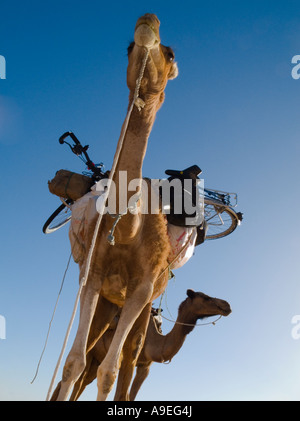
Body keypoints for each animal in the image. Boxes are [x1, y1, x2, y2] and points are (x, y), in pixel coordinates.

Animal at [51, 288, 231, 400]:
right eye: (206, 297)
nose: (226, 305)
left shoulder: (145, 366)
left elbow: (131, 396)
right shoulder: (127, 357)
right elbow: (122, 394)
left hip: (96, 361)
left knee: (82, 382)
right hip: (90, 350)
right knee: (72, 379)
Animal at [53, 13, 178, 400]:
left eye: (170, 53)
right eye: (127, 47)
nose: (148, 20)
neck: (127, 230)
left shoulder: (142, 288)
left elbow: (108, 371)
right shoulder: (92, 276)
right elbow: (73, 363)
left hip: (145, 306)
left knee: (129, 358)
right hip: (110, 303)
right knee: (89, 354)